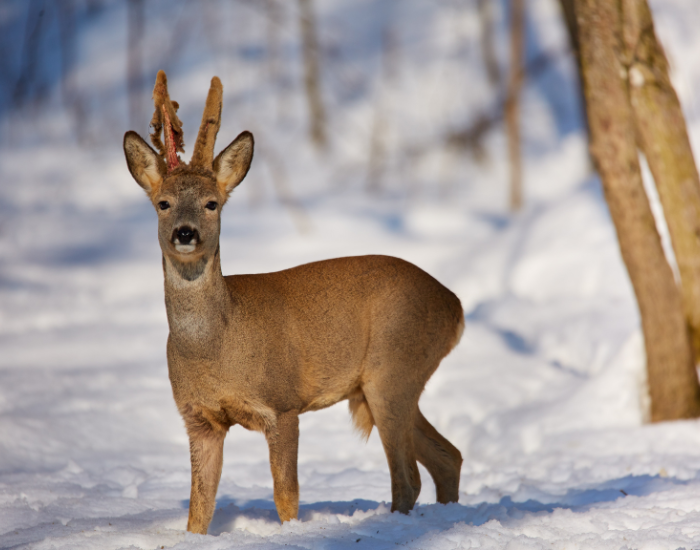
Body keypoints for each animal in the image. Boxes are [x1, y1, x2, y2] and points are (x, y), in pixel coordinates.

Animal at [123, 71, 465, 535]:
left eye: (212, 203)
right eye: (164, 203)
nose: (185, 233)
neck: (217, 346)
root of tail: (455, 306)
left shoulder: (282, 403)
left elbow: (287, 496)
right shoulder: (199, 418)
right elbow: (199, 509)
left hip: (393, 368)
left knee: (408, 477)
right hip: (386, 383)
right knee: (448, 457)